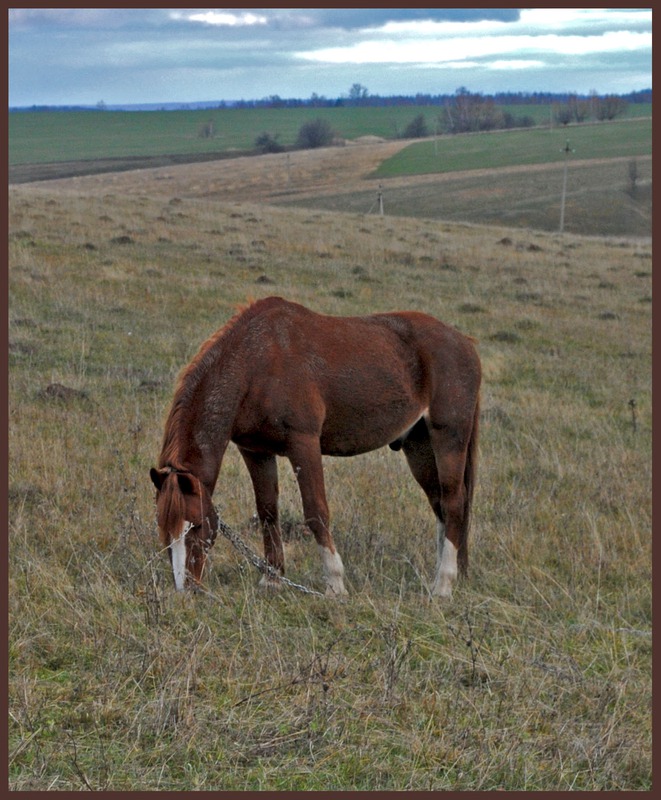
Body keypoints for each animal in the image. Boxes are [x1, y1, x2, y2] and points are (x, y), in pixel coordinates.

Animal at [150, 296, 480, 596]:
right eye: (164, 529)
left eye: (196, 525)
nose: (185, 589)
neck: (256, 363)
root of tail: (465, 344)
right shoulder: (256, 451)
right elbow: (267, 511)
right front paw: (272, 578)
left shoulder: (303, 444)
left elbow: (316, 511)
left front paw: (335, 584)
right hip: (419, 446)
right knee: (439, 503)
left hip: (448, 438)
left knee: (453, 502)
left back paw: (443, 585)